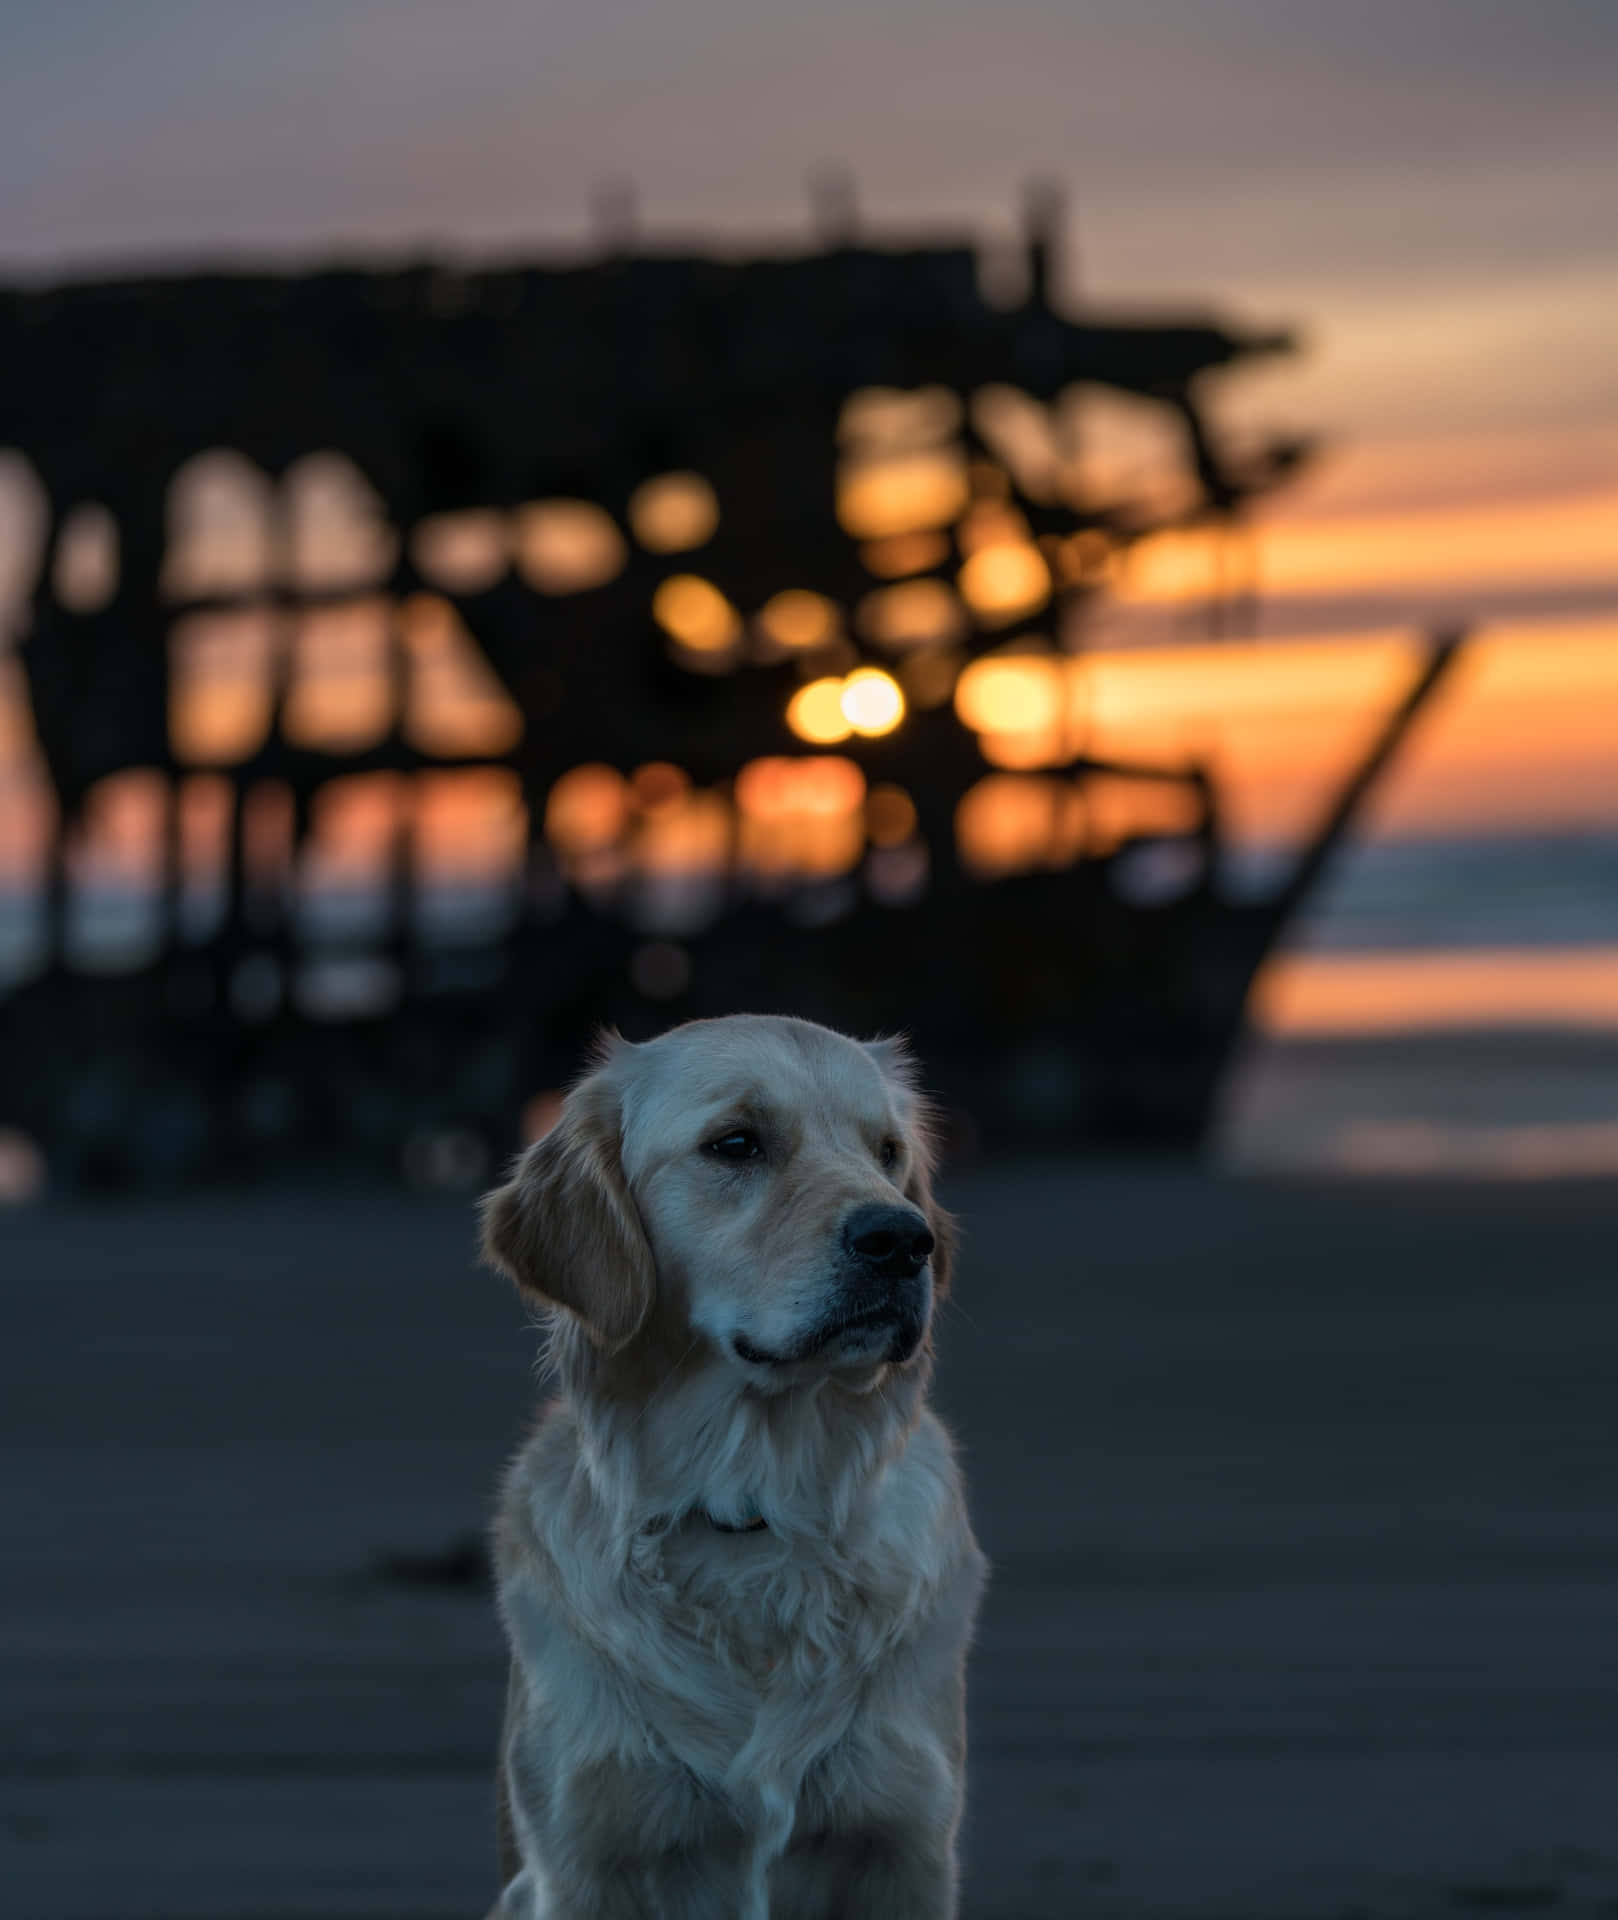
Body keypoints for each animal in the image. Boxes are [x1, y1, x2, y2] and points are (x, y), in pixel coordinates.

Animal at [481, 1013, 990, 1912]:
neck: (755, 1509)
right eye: (736, 1144)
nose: (904, 1239)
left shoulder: (908, 1846)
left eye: (888, 1151)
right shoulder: (581, 1861)